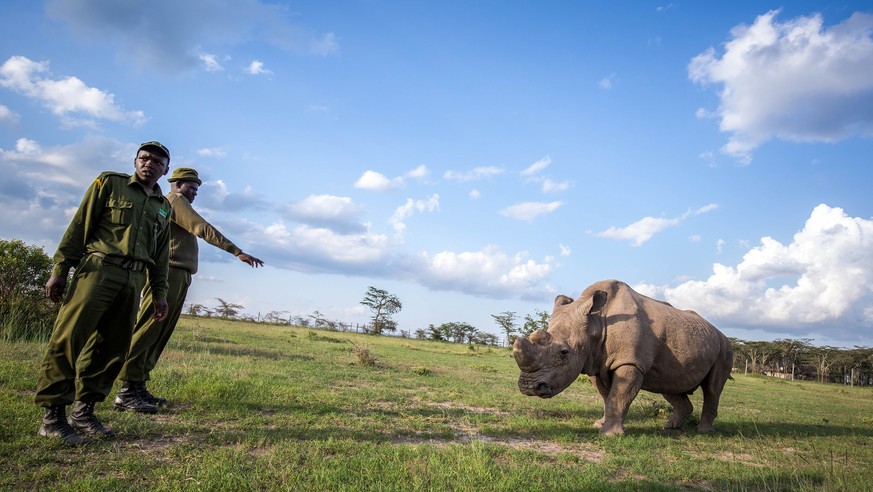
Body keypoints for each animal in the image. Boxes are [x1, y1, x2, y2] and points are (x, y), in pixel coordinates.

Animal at [516, 278, 732, 436]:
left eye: (564, 352)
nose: (528, 387)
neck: (596, 322)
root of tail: (718, 331)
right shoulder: (595, 363)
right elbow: (607, 397)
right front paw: (599, 425)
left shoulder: (630, 362)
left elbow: (618, 396)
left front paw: (609, 435)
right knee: (670, 384)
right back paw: (671, 427)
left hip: (724, 347)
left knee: (712, 388)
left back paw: (704, 431)